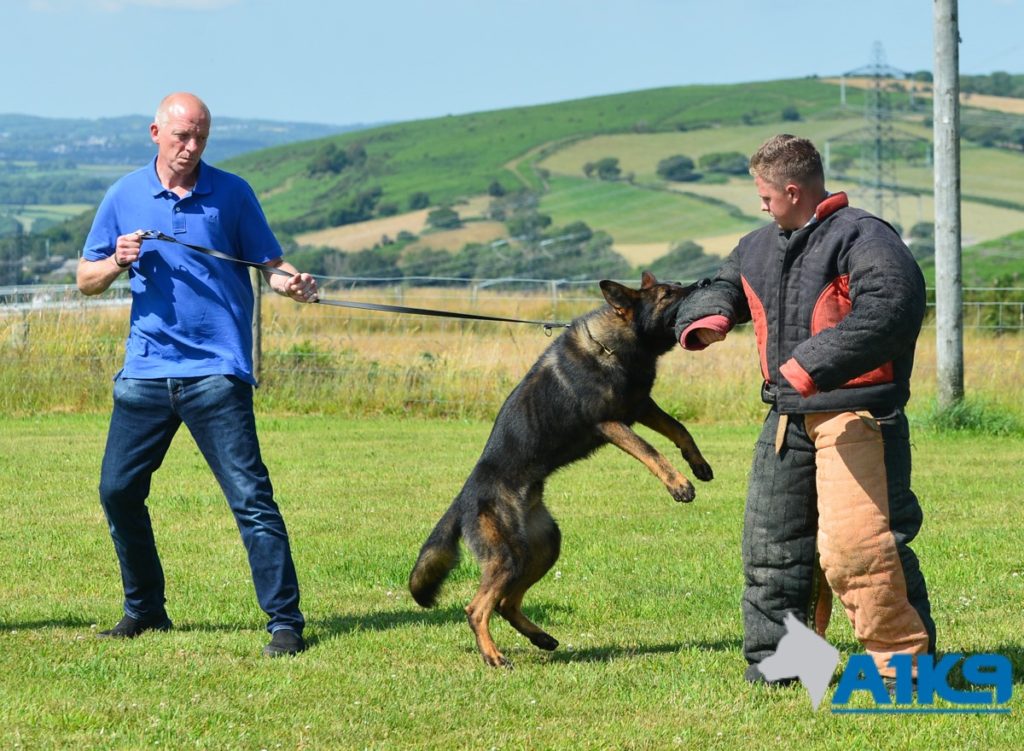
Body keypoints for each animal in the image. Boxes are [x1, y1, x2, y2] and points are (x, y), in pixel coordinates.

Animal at [407, 272, 712, 663]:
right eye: (667, 294)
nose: (704, 282)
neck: (615, 344)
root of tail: (464, 498)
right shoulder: (610, 422)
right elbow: (650, 449)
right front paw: (678, 484)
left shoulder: (641, 406)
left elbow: (679, 428)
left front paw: (698, 464)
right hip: (508, 556)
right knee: (476, 608)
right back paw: (493, 655)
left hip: (543, 548)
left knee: (505, 603)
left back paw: (541, 638)